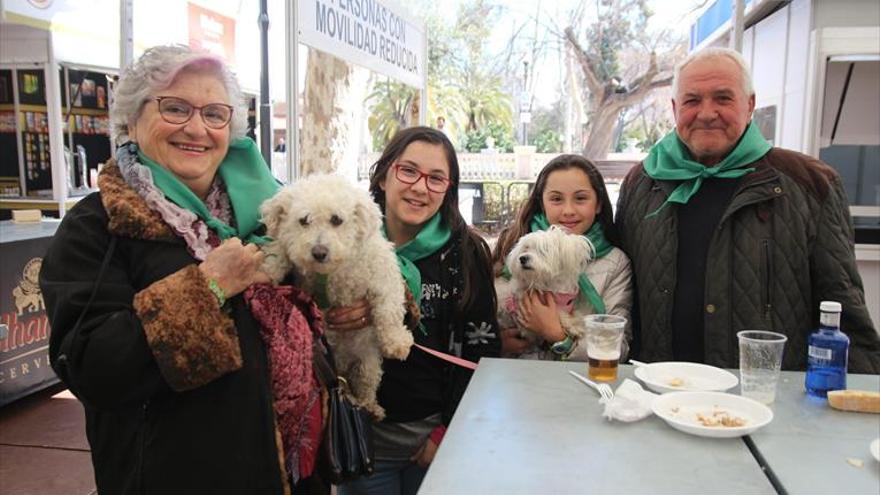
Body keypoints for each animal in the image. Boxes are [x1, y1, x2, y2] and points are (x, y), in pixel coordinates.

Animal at [260, 172, 414, 420]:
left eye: (336, 219)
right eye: (304, 220)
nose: (319, 252)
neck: (333, 272)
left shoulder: (382, 273)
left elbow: (388, 306)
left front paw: (396, 341)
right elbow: (281, 252)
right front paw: (268, 269)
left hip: (367, 363)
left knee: (367, 385)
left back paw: (371, 406)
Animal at [496, 227, 600, 358]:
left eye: (543, 249)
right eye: (525, 248)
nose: (522, 258)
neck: (549, 284)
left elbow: (576, 312)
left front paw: (577, 321)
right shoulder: (523, 319)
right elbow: (558, 312)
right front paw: (573, 326)